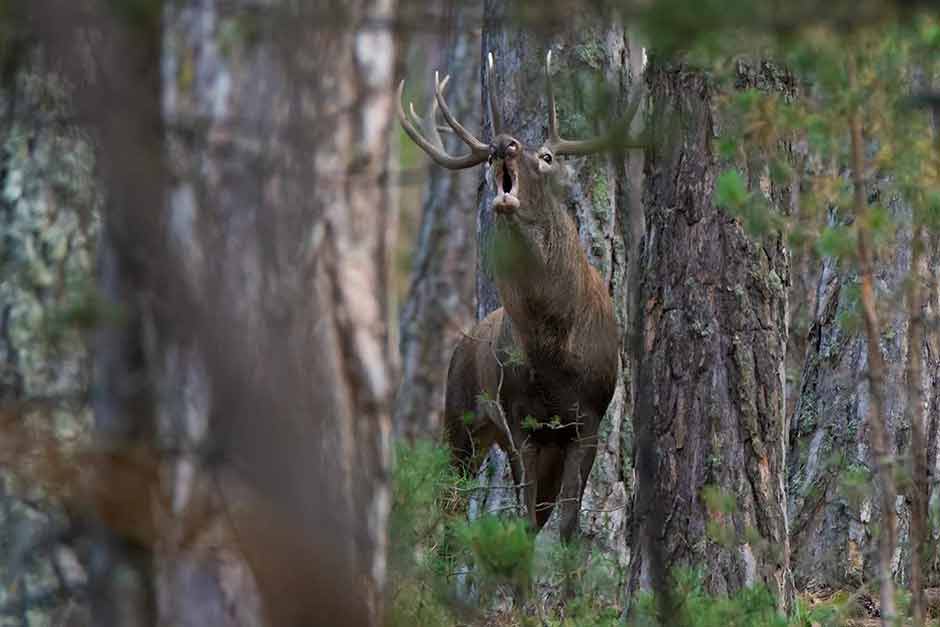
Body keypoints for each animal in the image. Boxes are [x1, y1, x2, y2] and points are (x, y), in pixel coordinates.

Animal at [398, 52, 624, 540]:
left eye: (547, 156)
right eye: (487, 158)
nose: (503, 144)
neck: (553, 352)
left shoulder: (589, 418)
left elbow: (567, 525)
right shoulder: (518, 418)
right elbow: (523, 521)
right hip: (459, 417)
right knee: (449, 508)